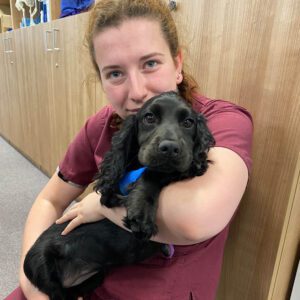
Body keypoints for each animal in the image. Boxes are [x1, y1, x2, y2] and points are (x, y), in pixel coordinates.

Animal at [24, 91, 214, 300]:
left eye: (188, 122)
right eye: (149, 118)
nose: (170, 148)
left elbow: (163, 171)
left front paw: (195, 163)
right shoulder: (109, 194)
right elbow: (153, 173)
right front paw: (141, 215)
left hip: (97, 275)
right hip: (43, 267)